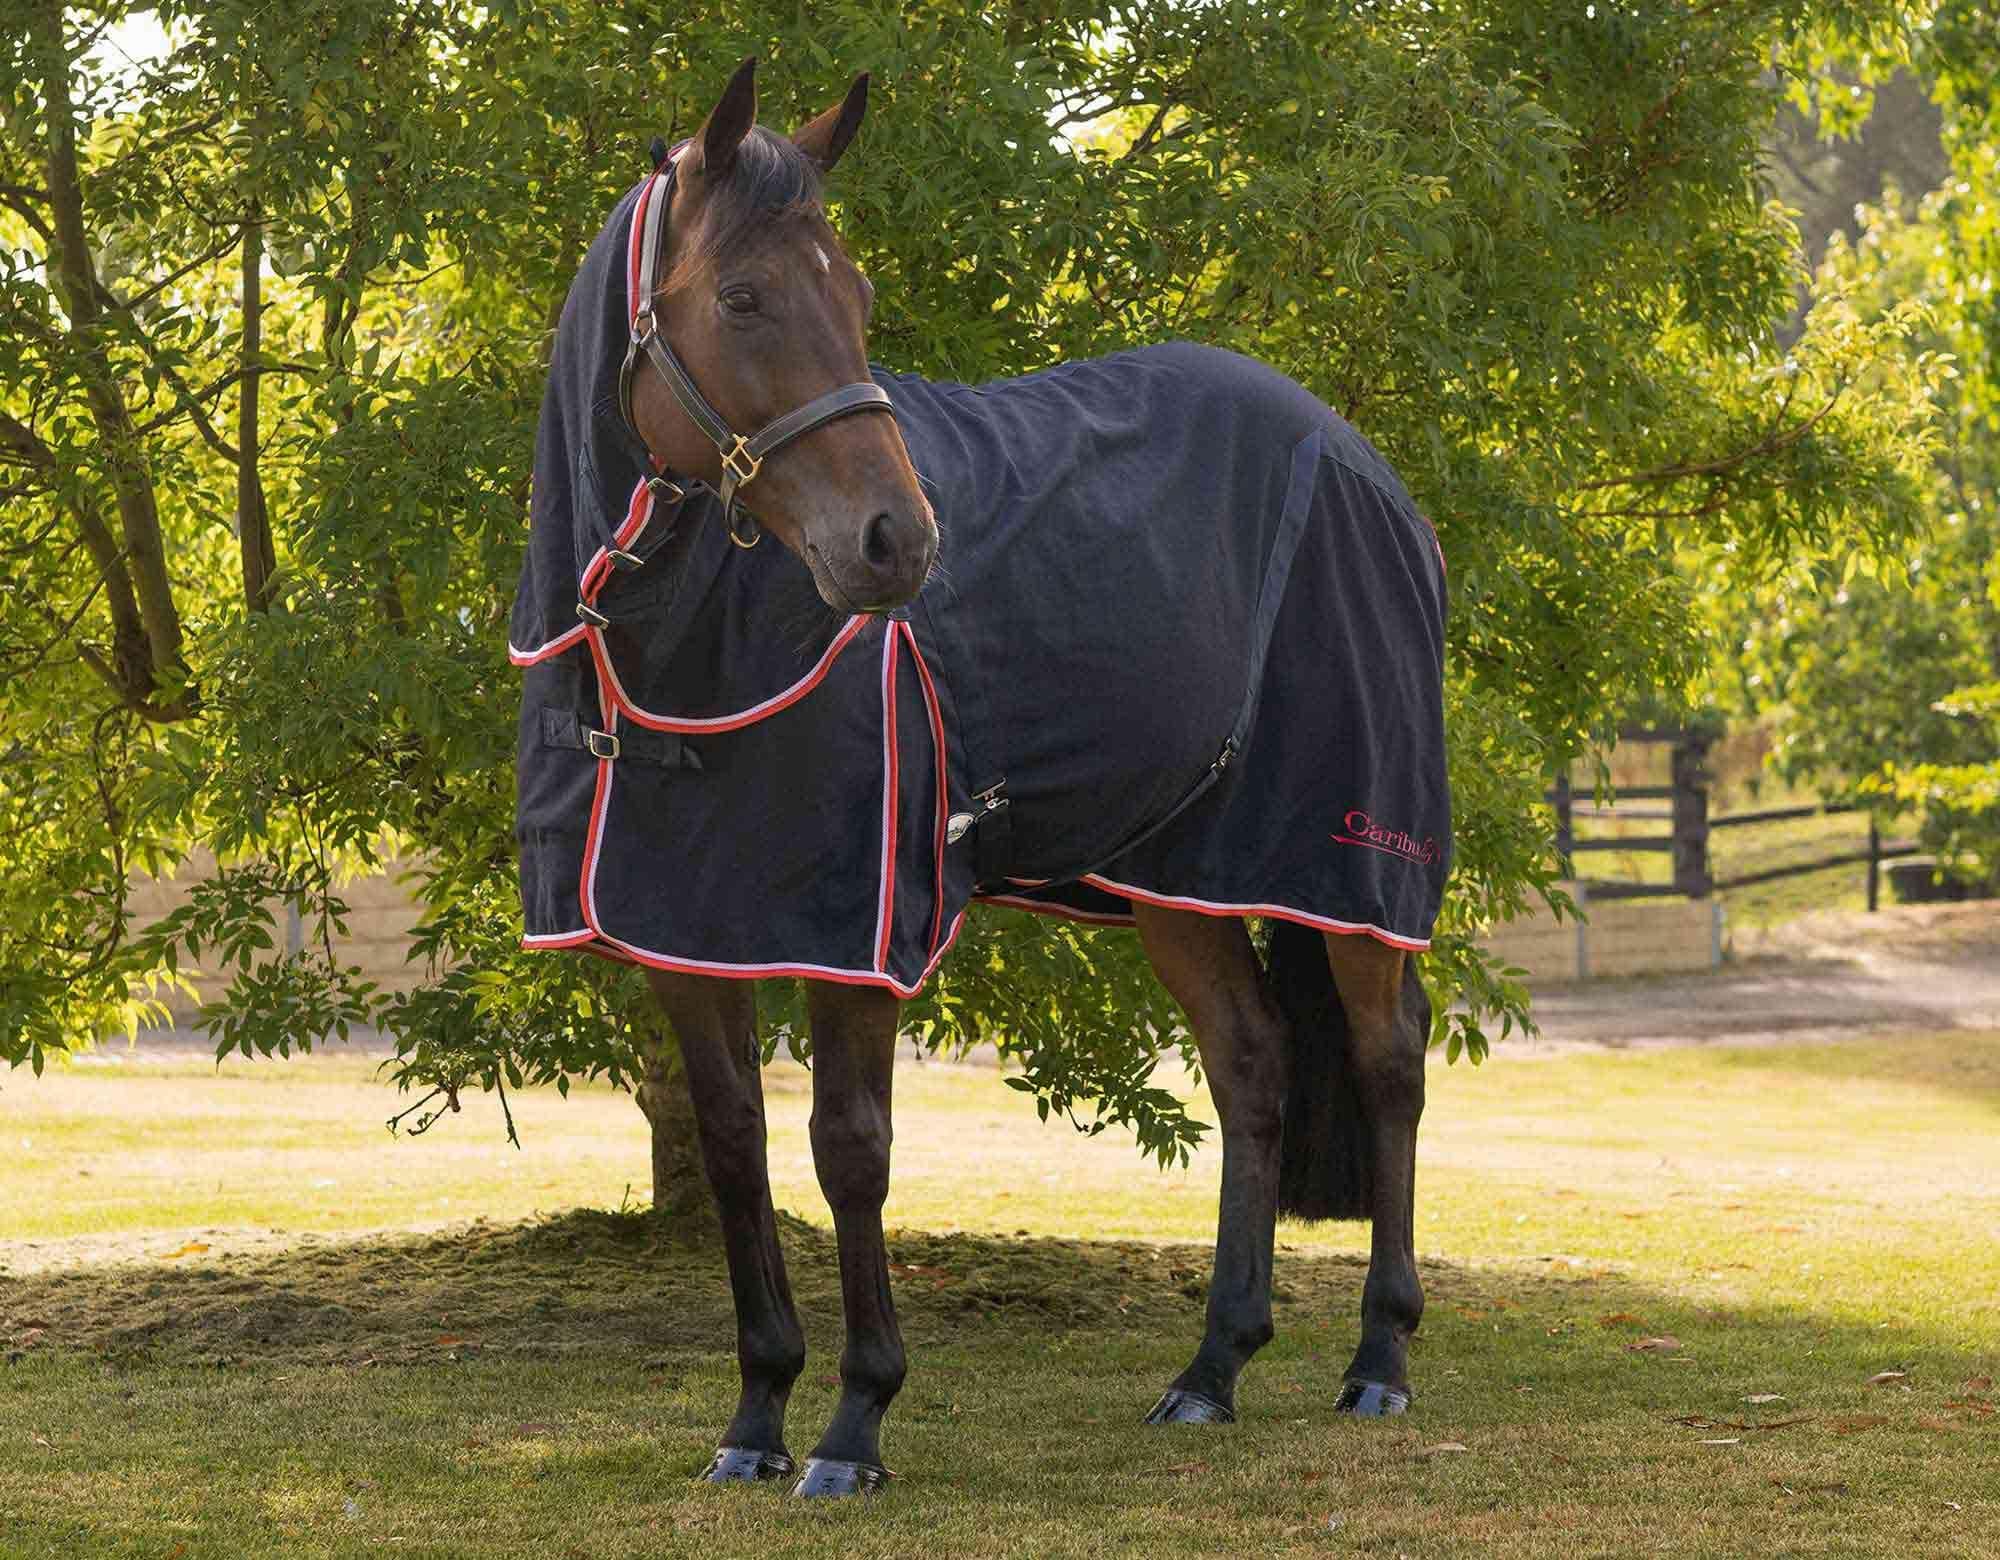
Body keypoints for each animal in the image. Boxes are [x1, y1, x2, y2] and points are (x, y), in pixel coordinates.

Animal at [509, 58, 1449, 1499]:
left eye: (858, 298)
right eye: (743, 298)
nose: (897, 542)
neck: (658, 651)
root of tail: (1368, 469)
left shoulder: (855, 932)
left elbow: (849, 1151)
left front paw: (853, 1427)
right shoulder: (683, 934)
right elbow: (732, 1146)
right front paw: (755, 1420)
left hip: (1348, 862)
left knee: (1390, 1061)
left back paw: (1380, 1359)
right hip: (1176, 876)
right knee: (1252, 1067)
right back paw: (1210, 1371)